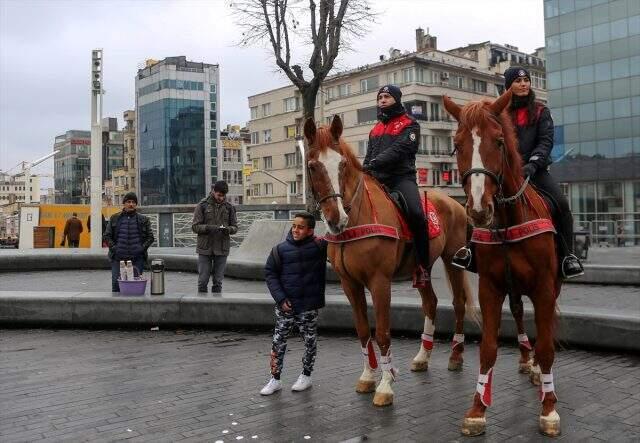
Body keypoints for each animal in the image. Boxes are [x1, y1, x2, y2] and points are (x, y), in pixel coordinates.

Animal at [304, 116, 476, 408]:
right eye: (313, 165)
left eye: (342, 164)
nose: (336, 219)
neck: (357, 218)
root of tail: (454, 203)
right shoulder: (349, 284)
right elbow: (363, 330)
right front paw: (367, 377)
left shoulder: (380, 282)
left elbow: (383, 332)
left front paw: (385, 385)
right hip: (422, 268)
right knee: (431, 303)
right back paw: (423, 356)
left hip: (452, 260)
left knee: (458, 303)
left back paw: (455, 355)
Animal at [442, 92, 564, 438]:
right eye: (457, 144)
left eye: (498, 141)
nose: (479, 209)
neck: (509, 220)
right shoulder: (491, 288)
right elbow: (487, 348)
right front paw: (477, 410)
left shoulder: (544, 287)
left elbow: (547, 346)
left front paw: (549, 408)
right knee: (520, 314)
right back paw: (525, 359)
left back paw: (535, 369)